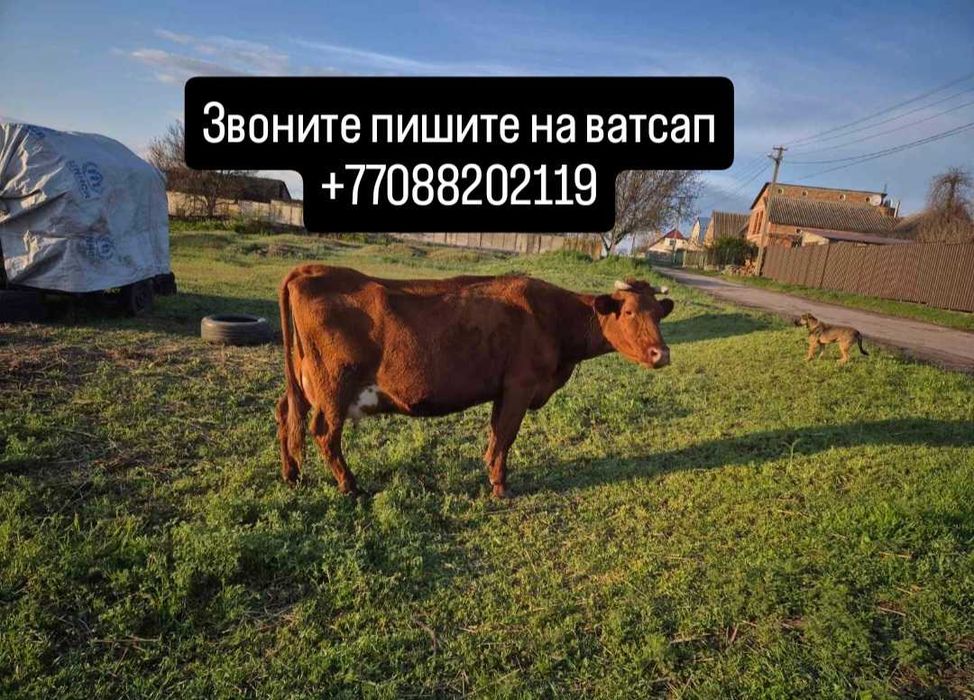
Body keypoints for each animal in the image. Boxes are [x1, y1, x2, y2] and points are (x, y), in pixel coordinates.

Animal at [275, 265, 674, 498]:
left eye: (658, 313)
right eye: (629, 311)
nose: (662, 353)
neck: (552, 317)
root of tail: (311, 271)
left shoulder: (503, 389)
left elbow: (496, 434)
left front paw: (491, 472)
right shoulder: (520, 385)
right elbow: (506, 436)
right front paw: (500, 486)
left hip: (303, 383)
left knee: (285, 416)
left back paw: (291, 474)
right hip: (334, 388)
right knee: (324, 433)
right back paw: (350, 486)